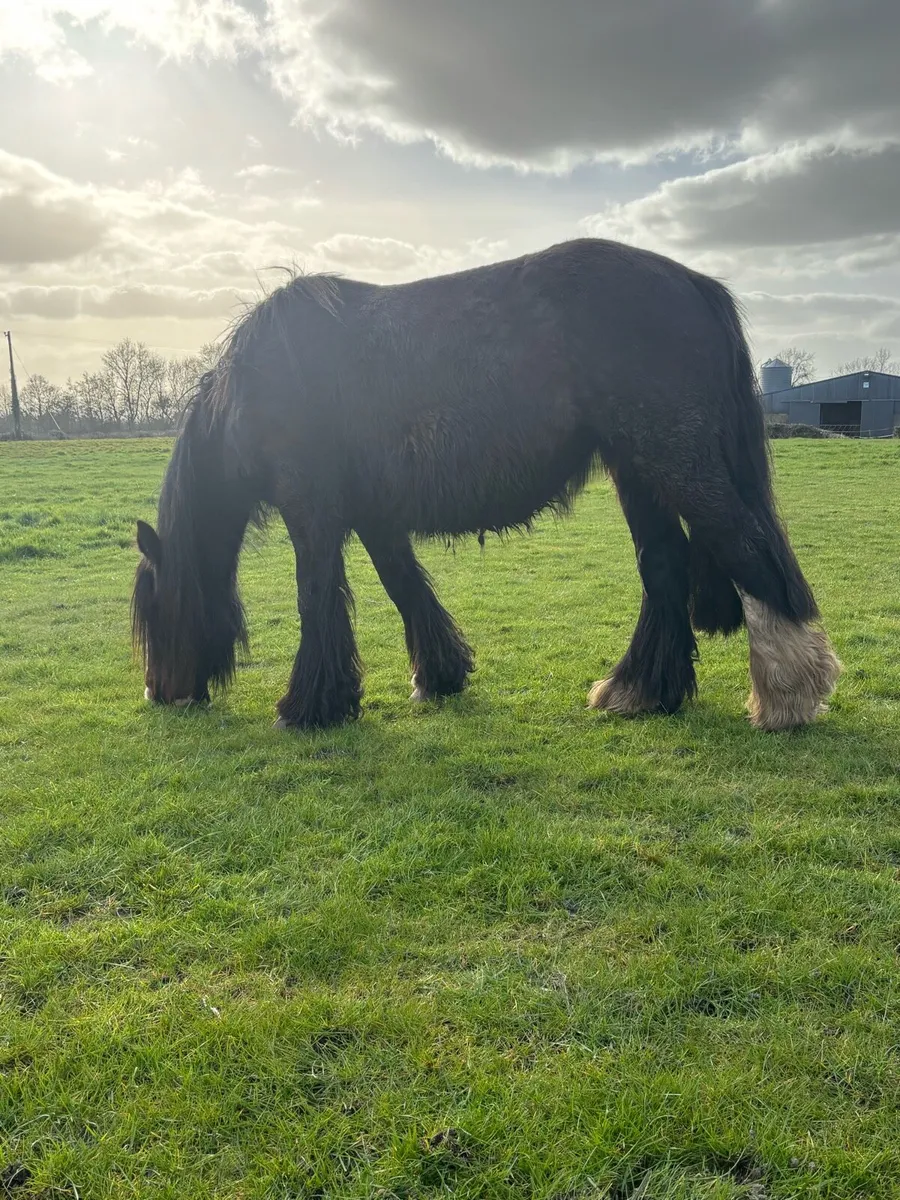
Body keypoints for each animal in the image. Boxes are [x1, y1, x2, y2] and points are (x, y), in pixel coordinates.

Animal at [132, 238, 840, 732]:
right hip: (638, 472)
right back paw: (638, 691)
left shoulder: (313, 509)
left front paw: (308, 706)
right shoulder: (374, 514)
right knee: (664, 567)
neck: (260, 381)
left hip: (676, 462)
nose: (160, 692)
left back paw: (789, 697)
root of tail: (694, 284)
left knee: (751, 552)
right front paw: (439, 676)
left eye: (155, 609)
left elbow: (317, 596)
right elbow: (405, 586)